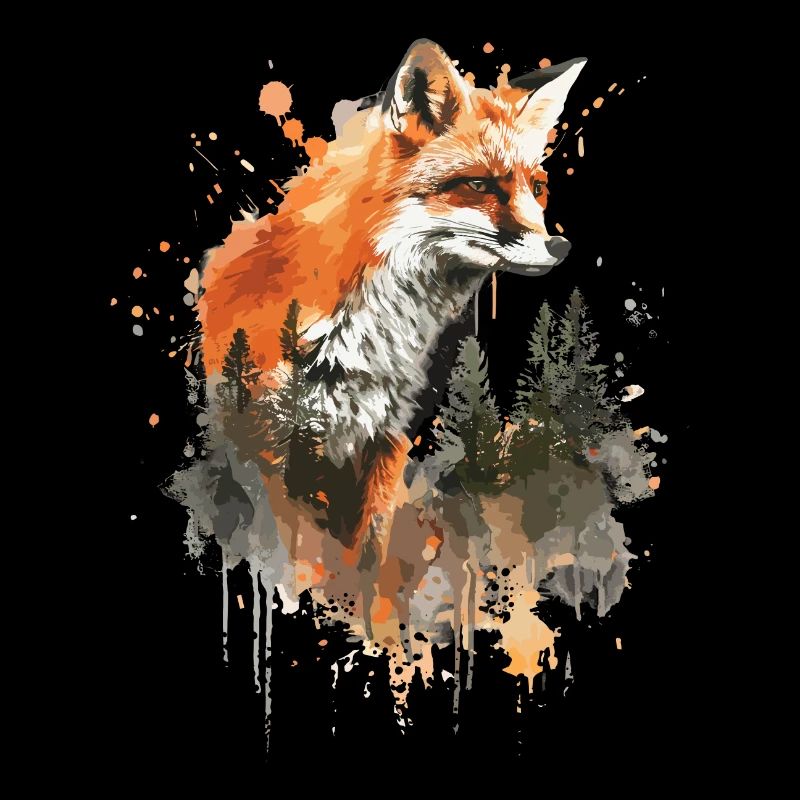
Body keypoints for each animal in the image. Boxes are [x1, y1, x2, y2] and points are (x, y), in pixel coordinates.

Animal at [199, 39, 586, 569]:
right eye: (480, 186)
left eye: (539, 187)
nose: (560, 247)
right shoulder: (272, 446)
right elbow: (292, 563)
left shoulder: (385, 441)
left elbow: (366, 559)